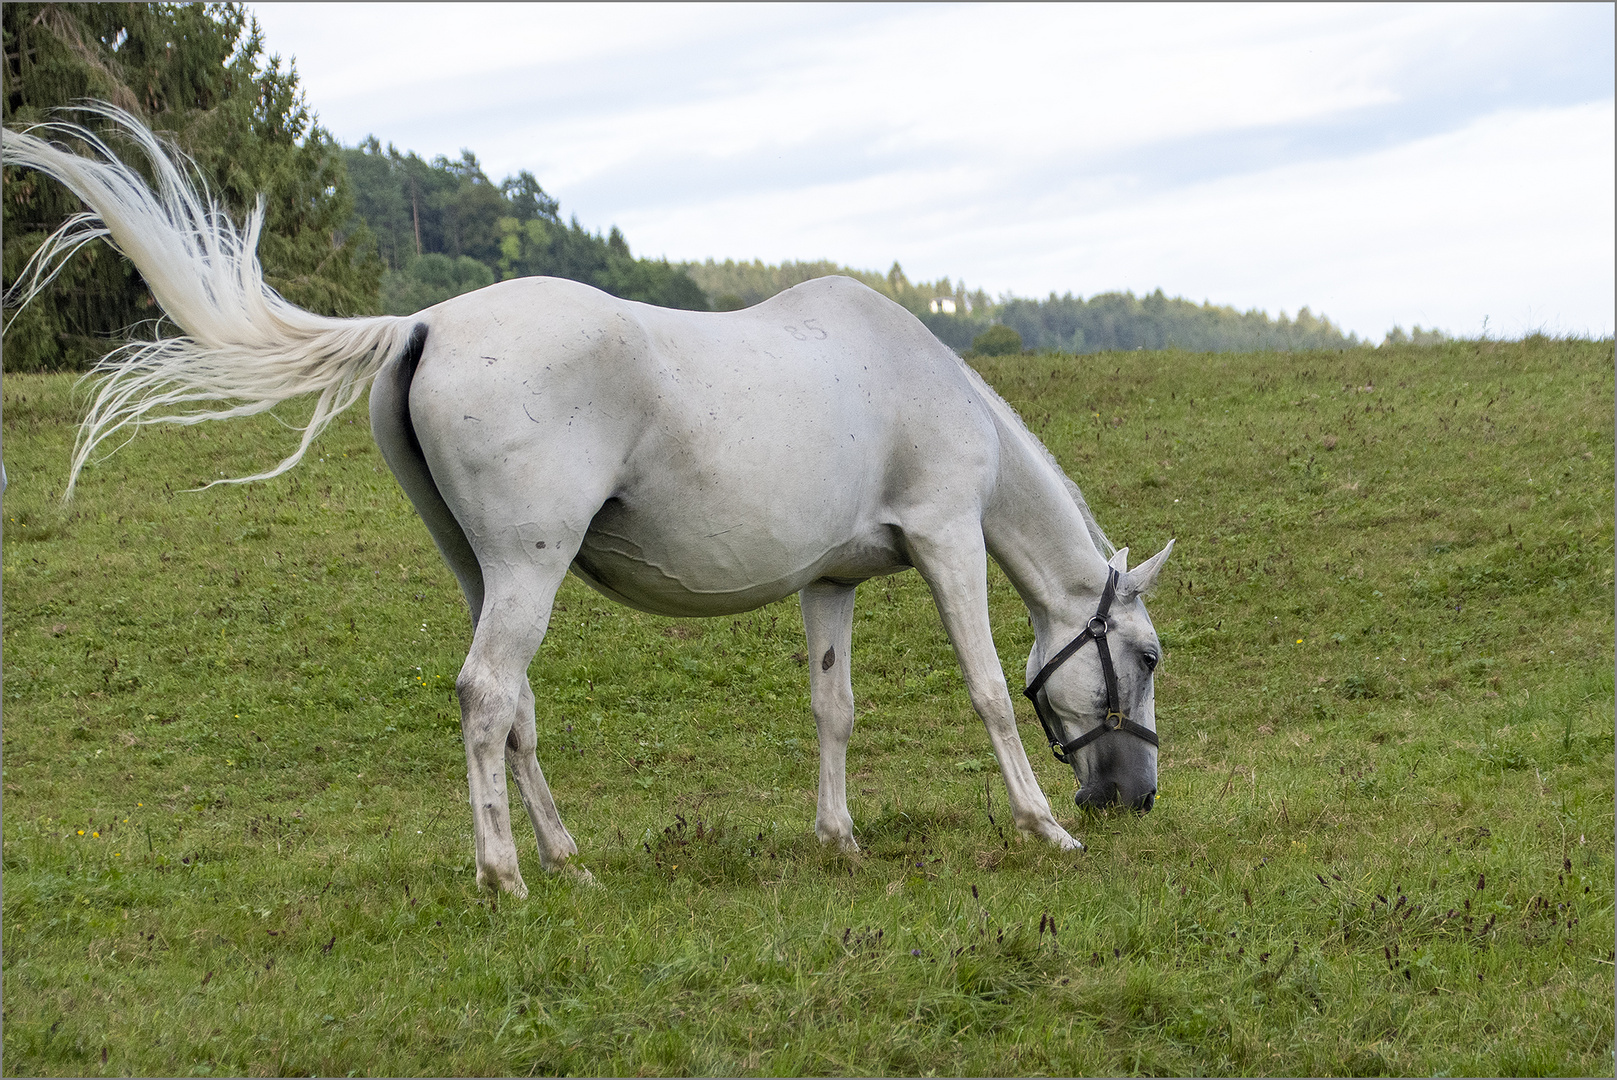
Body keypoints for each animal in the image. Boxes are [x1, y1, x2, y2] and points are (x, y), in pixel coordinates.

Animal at [0, 107, 1170, 892]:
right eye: (1149, 656)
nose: (1133, 798)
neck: (915, 378)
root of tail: (425, 323)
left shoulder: (829, 582)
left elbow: (832, 708)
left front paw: (838, 838)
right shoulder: (945, 540)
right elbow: (987, 689)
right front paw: (1043, 829)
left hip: (485, 572)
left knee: (513, 709)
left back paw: (565, 861)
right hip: (527, 569)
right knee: (485, 696)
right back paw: (505, 877)